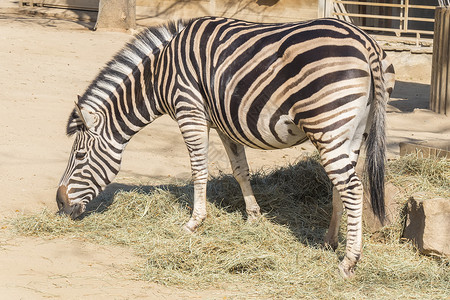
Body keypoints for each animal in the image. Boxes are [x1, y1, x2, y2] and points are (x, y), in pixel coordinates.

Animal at [56, 17, 394, 278]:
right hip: (354, 130)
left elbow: (198, 169)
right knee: (343, 184)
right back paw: (329, 241)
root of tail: (364, 41)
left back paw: (349, 262)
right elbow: (239, 169)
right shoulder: (223, 122)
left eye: (80, 155)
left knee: (352, 188)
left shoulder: (190, 110)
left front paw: (194, 222)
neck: (160, 76)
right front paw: (254, 217)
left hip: (328, 123)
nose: (60, 205)